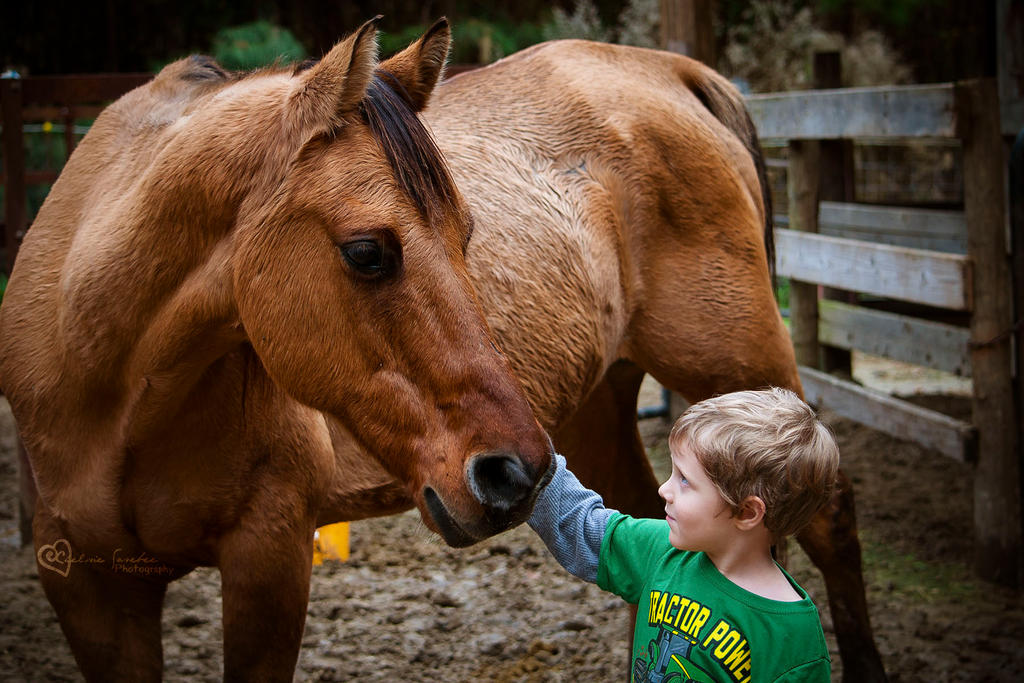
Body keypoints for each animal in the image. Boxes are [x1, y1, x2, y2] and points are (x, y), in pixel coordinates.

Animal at [0, 18, 880, 679]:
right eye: (367, 252)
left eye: (467, 233)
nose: (514, 474)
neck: (113, 386)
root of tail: (672, 72)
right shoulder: (87, 591)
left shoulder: (269, 559)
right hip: (600, 408)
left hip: (738, 365)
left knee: (831, 517)